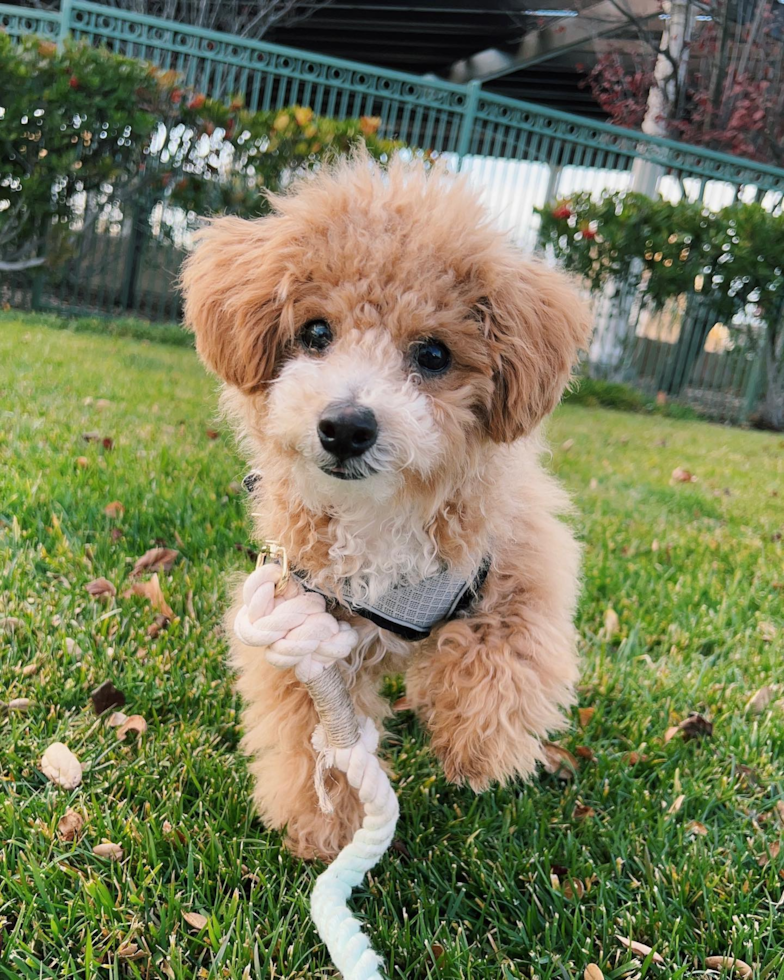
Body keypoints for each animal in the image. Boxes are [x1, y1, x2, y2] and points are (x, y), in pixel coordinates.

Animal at [181, 157, 592, 860]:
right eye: (316, 333)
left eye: (433, 354)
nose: (346, 427)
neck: (379, 513)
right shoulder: (301, 606)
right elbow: (310, 734)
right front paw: (321, 824)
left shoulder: (519, 557)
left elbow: (506, 648)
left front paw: (475, 745)